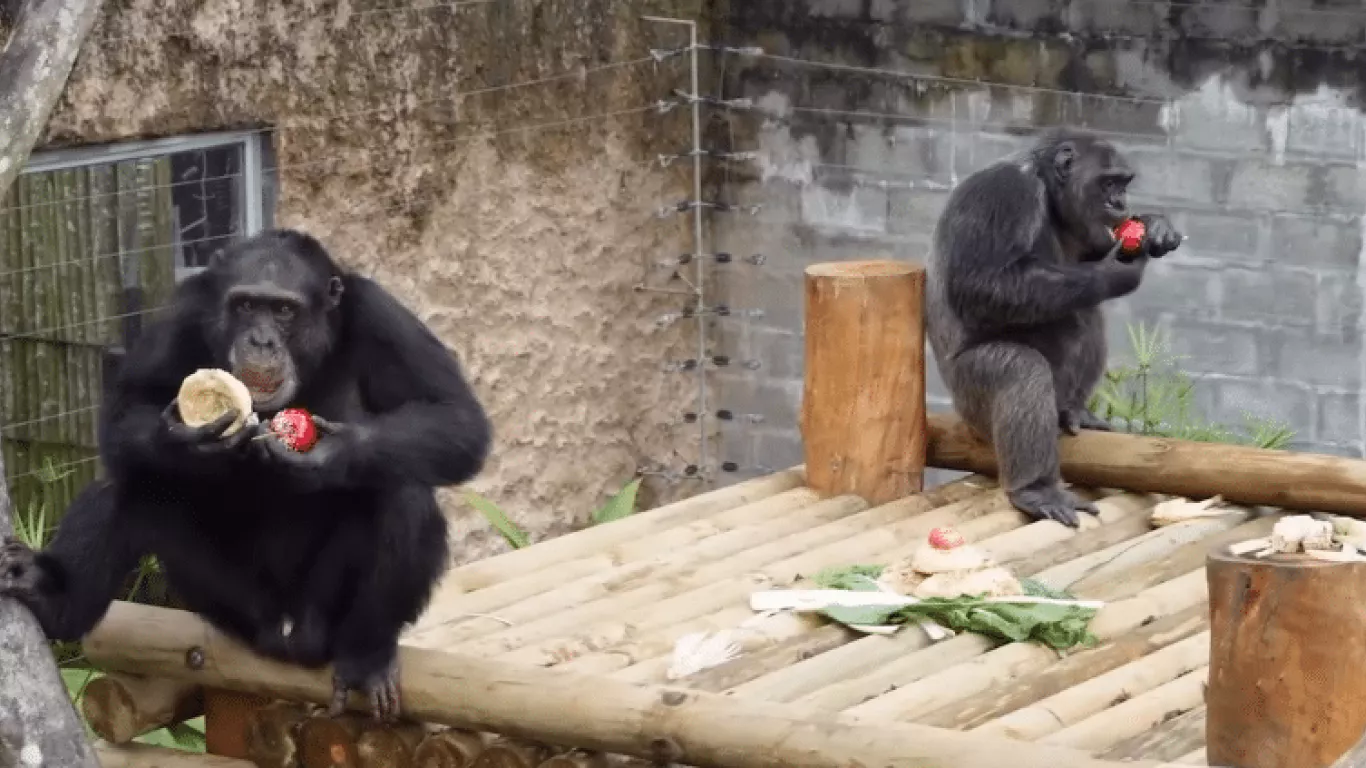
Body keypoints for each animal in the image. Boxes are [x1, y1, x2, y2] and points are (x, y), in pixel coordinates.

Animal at [0, 226, 491, 716]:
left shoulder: (382, 317)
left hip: (319, 617)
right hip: (232, 608)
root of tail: (287, 635)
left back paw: (366, 656)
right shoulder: (184, 312)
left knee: (402, 490)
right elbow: (127, 406)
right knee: (132, 481)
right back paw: (51, 597)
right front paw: (183, 439)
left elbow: (457, 418)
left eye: (284, 310)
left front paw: (330, 453)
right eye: (246, 306)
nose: (261, 340)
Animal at [928, 129, 1185, 524]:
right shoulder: (1003, 193)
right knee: (1020, 370)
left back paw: (1075, 411)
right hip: (969, 399)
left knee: (1087, 309)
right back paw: (1035, 489)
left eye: (1123, 183)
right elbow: (982, 282)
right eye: (1108, 182)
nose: (1120, 202)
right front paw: (1114, 271)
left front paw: (1156, 225)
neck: (1047, 193)